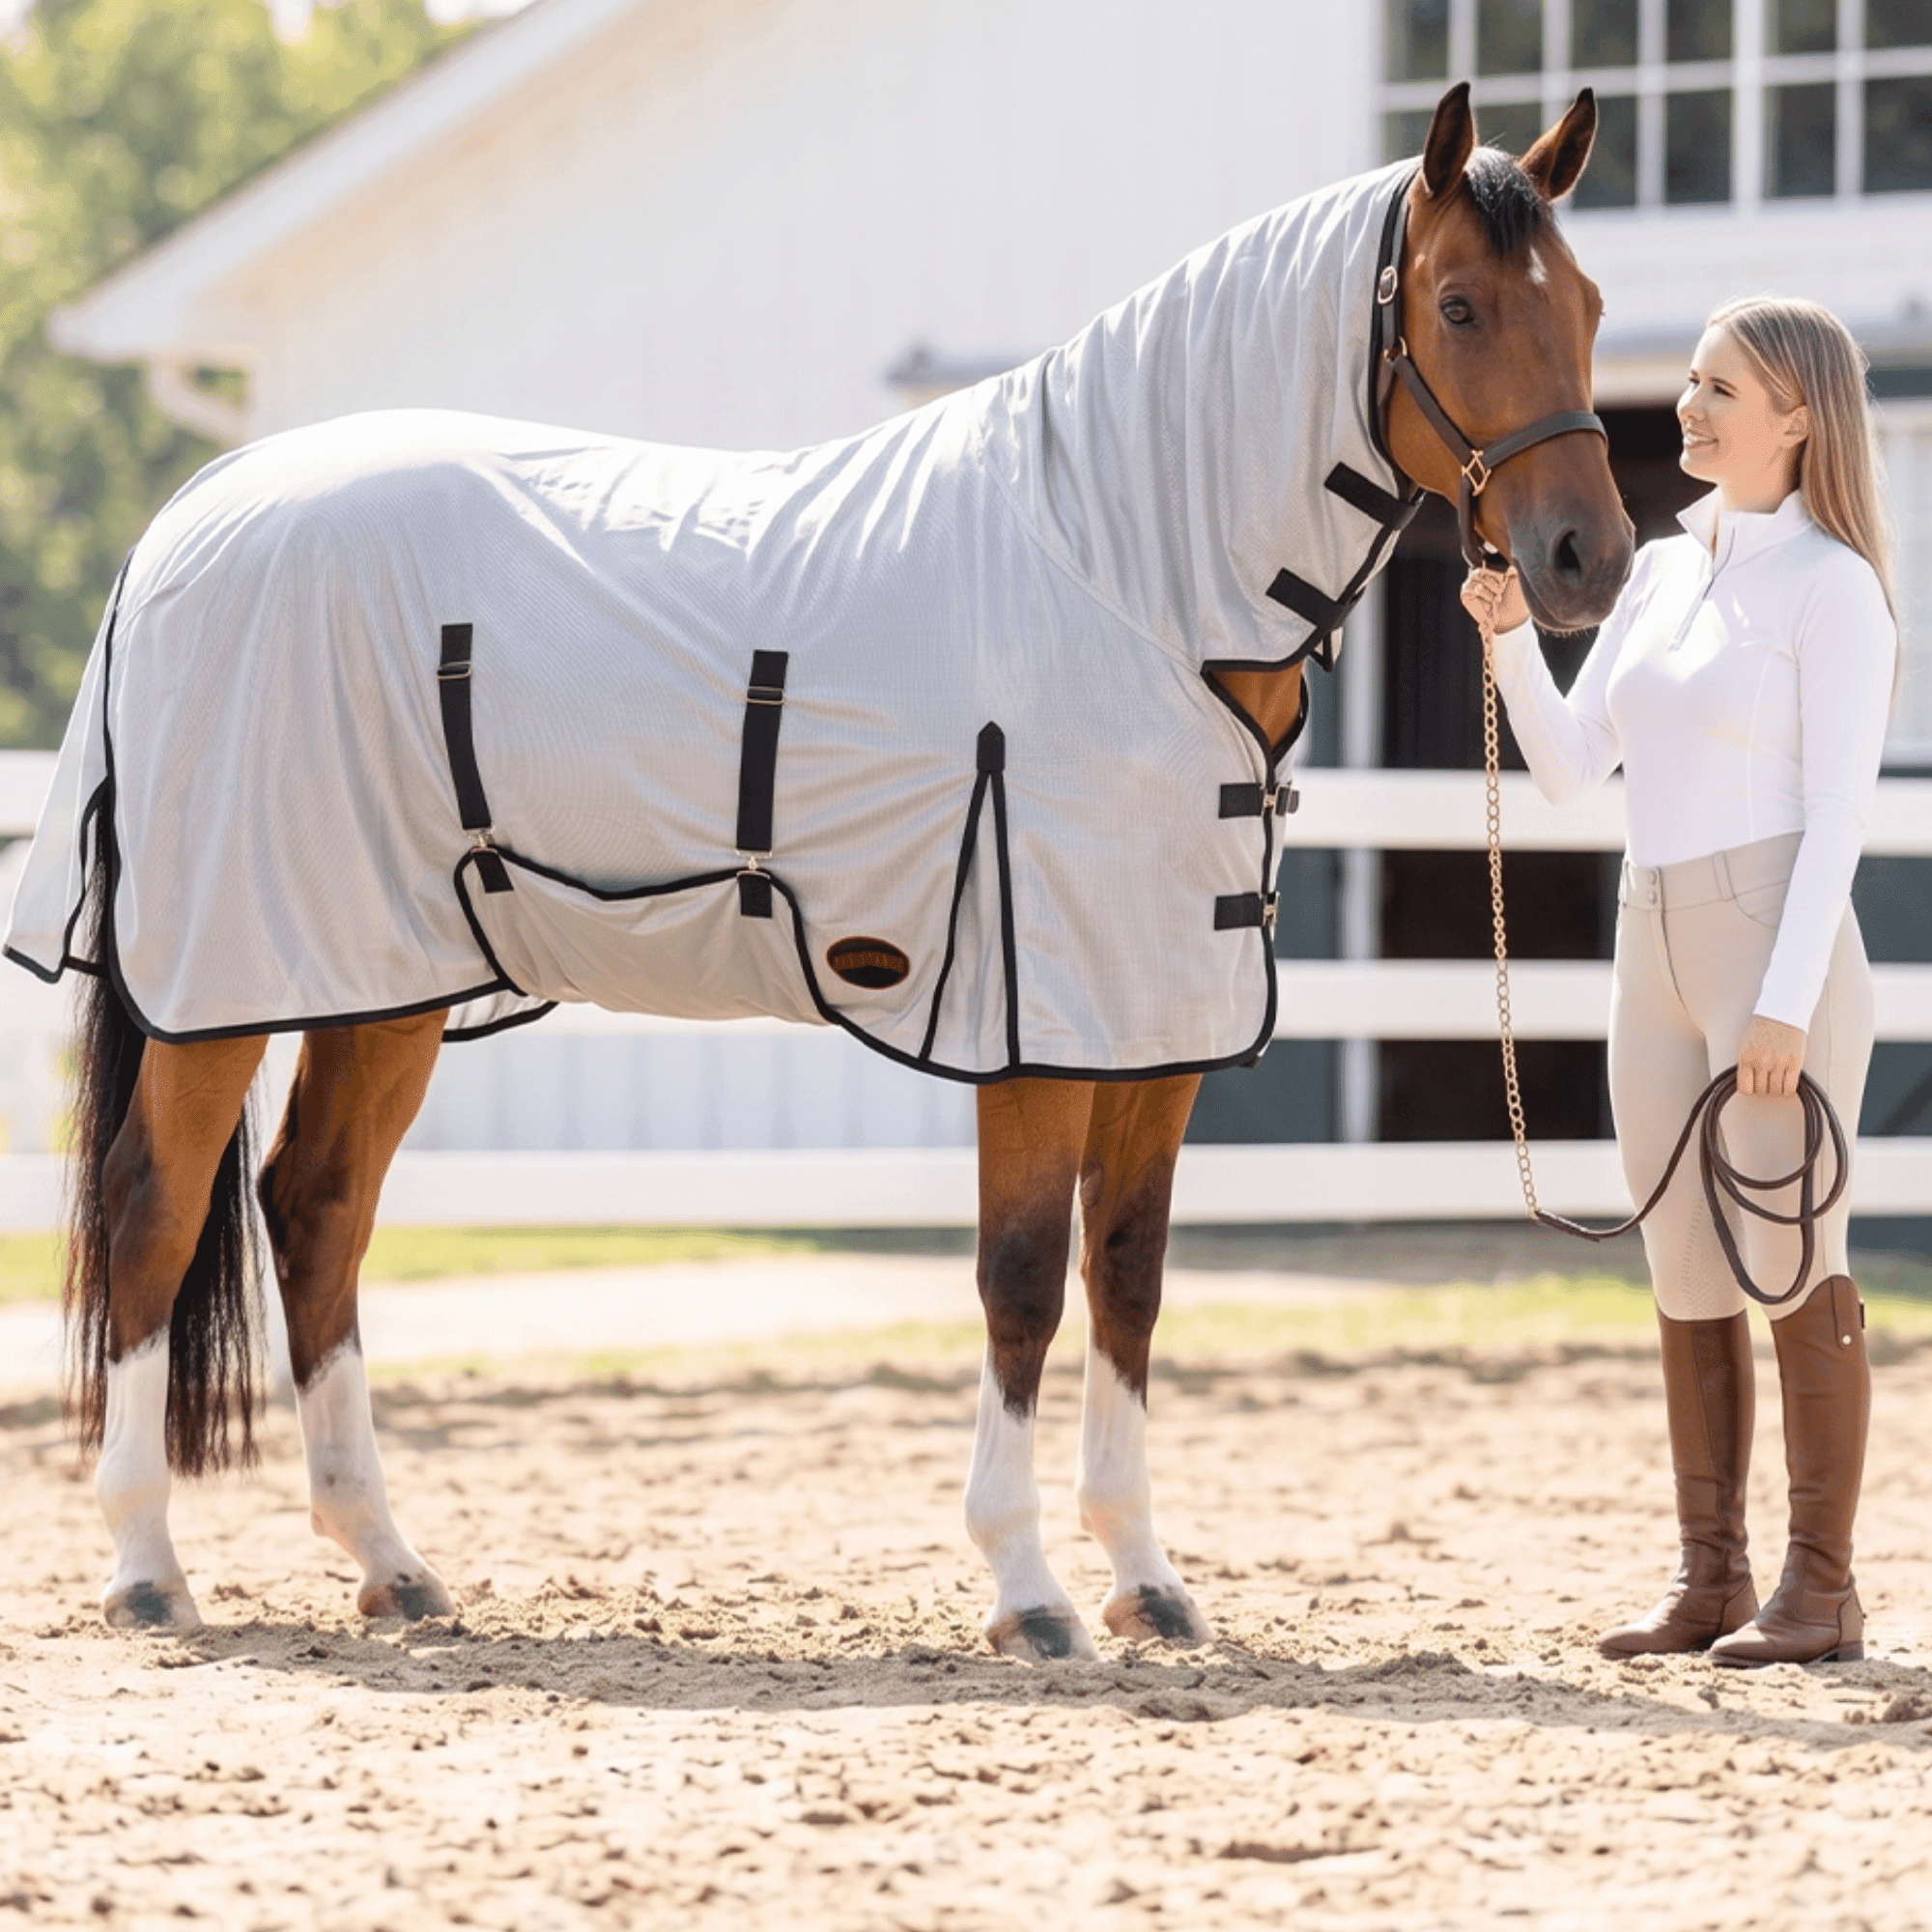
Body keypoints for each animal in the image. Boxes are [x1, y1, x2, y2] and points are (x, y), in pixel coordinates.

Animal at [8, 83, 1633, 1657]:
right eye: (1460, 306)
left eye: (1594, 303)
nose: (1588, 561)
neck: (1127, 586)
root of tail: (193, 512)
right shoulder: (1034, 1027)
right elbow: (1022, 1278)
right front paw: (1029, 1590)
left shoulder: (1156, 1023)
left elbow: (1129, 1275)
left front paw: (1147, 1581)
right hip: (232, 963)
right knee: (158, 1209)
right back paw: (148, 1568)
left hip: (385, 973)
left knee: (316, 1208)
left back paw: (390, 1565)